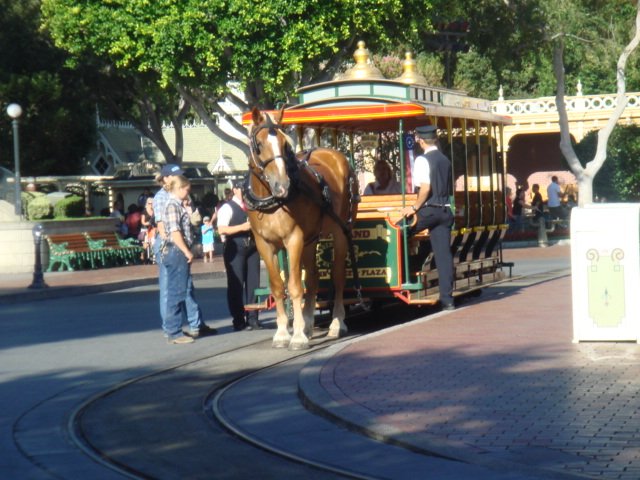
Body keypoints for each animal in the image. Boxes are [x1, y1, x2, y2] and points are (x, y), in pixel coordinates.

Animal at [246, 107, 360, 350]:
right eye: (259, 144)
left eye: (285, 144)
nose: (282, 185)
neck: (271, 200)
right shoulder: (264, 244)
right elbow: (278, 286)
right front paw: (283, 333)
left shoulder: (294, 239)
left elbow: (295, 286)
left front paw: (297, 337)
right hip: (311, 239)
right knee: (314, 277)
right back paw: (308, 325)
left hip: (340, 231)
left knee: (337, 276)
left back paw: (336, 323)